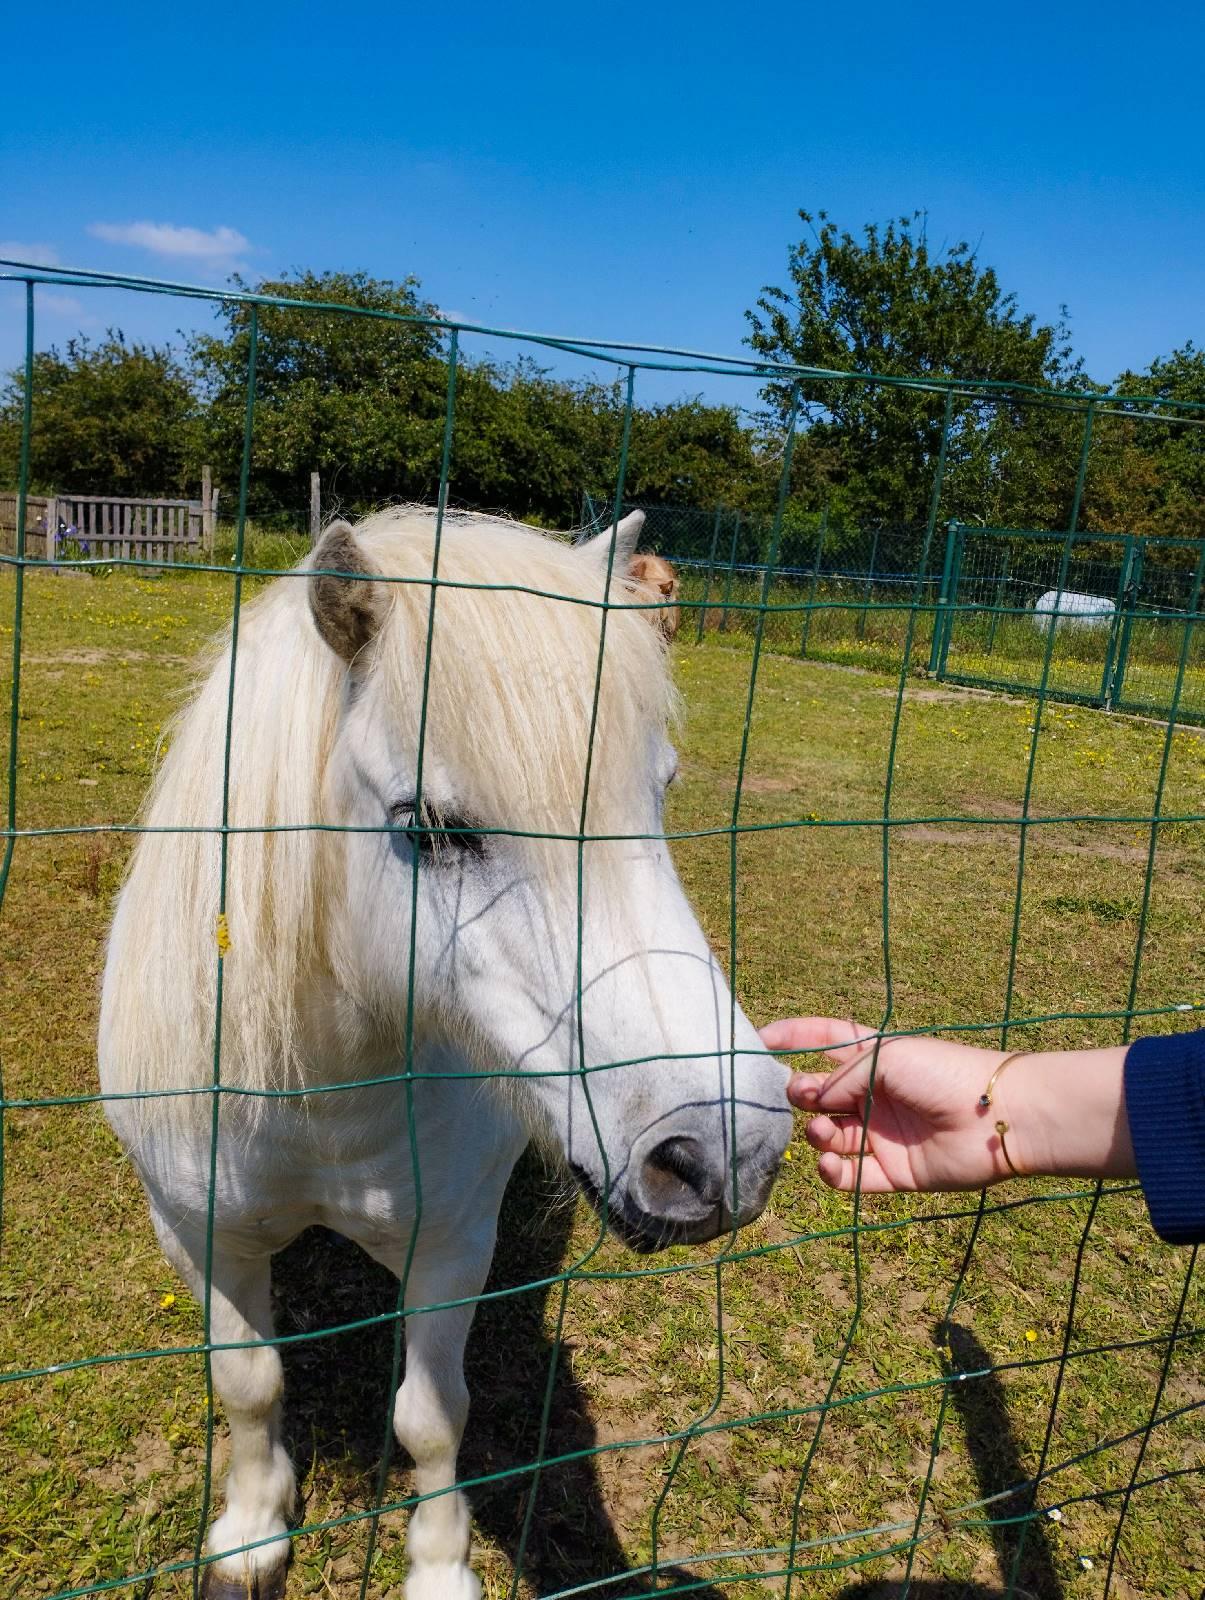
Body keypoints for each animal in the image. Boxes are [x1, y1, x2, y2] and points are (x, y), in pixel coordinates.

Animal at [101, 508, 790, 1600]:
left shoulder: (451, 1247)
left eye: (660, 790)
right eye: (429, 827)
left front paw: (436, 1566)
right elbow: (247, 1383)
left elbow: (431, 1419)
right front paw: (250, 1530)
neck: (324, 1102)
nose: (728, 1149)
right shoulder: (204, 1236)